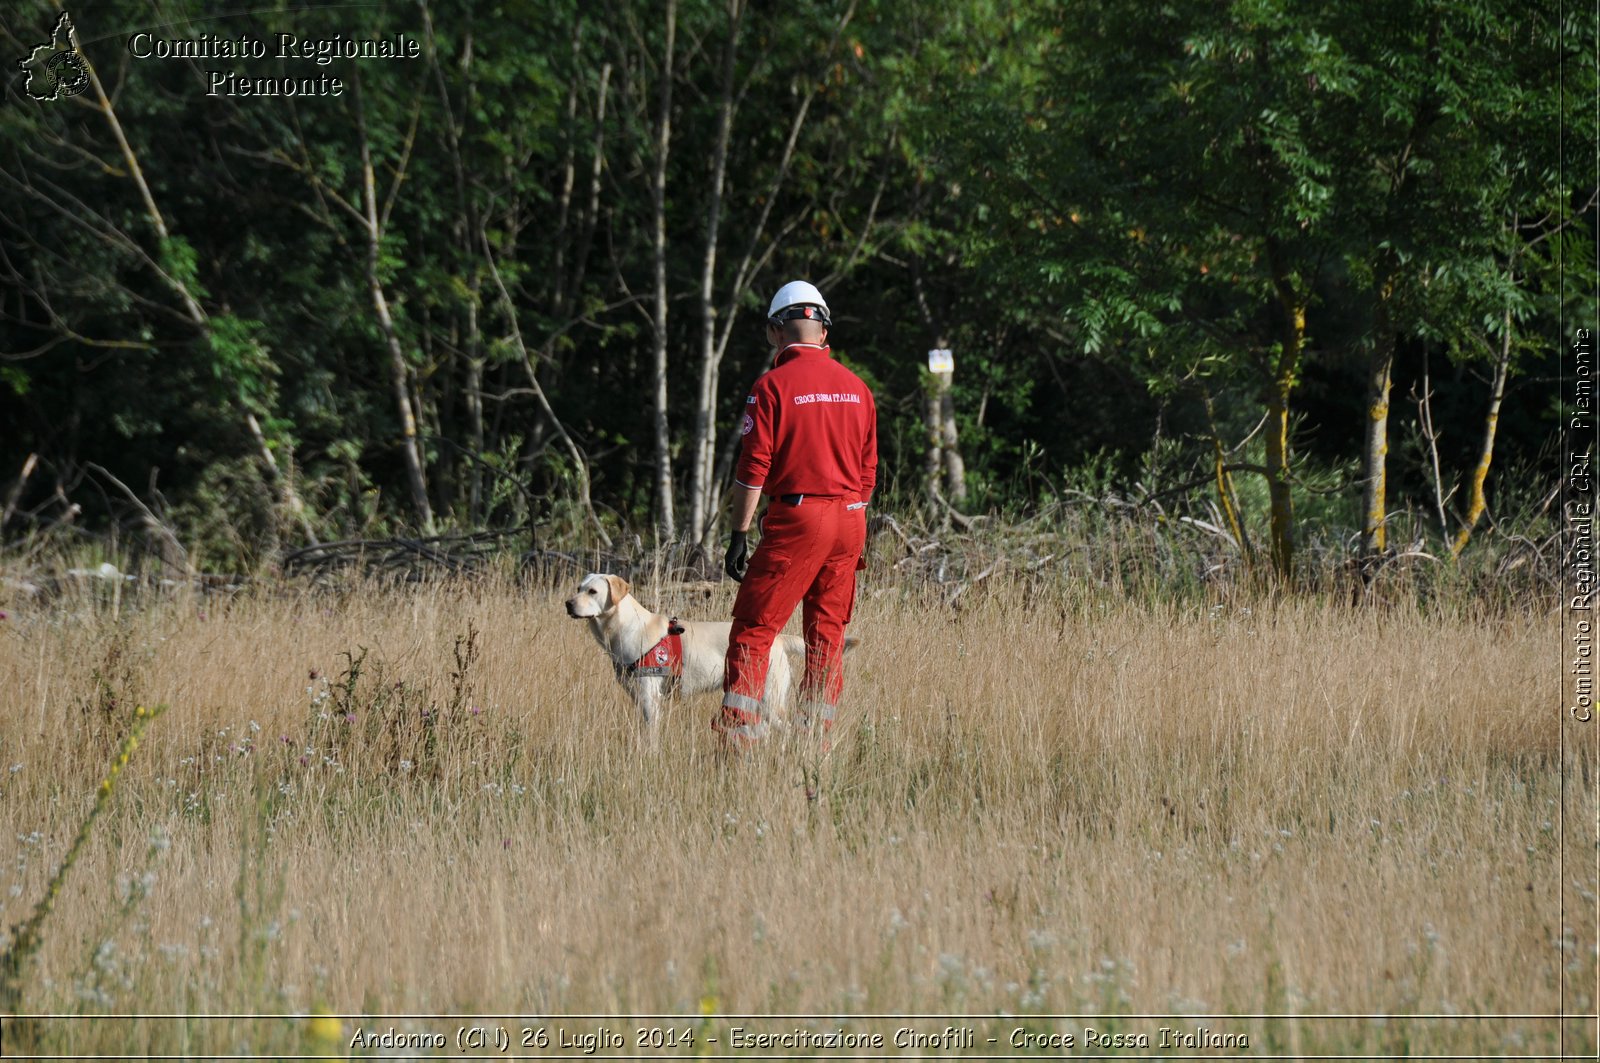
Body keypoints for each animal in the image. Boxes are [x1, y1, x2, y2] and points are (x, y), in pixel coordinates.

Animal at [563, 573, 800, 730]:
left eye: (593, 591)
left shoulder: (650, 697)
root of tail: (779, 638)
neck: (625, 626)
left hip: (769, 699)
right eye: (578, 588)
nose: (568, 604)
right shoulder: (636, 695)